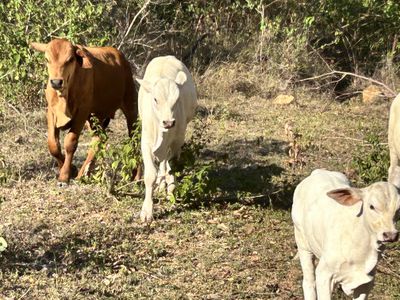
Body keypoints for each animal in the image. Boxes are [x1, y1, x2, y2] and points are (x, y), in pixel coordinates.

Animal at [30, 37, 138, 185]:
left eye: (70, 59)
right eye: (47, 59)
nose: (56, 82)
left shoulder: (82, 112)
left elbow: (70, 142)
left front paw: (64, 176)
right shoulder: (51, 112)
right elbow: (53, 144)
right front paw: (71, 169)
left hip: (130, 105)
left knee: (135, 138)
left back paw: (136, 177)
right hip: (94, 117)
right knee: (99, 139)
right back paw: (83, 174)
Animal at [137, 55, 198, 221]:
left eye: (176, 100)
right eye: (155, 99)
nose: (169, 122)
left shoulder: (177, 142)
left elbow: (171, 167)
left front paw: (171, 189)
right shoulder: (146, 143)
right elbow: (150, 175)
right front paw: (147, 211)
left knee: (165, 163)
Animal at [290, 170, 400, 298]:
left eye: (398, 209)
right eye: (372, 206)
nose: (390, 235)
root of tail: (318, 172)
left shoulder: (366, 282)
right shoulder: (324, 274)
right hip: (303, 244)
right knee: (309, 282)